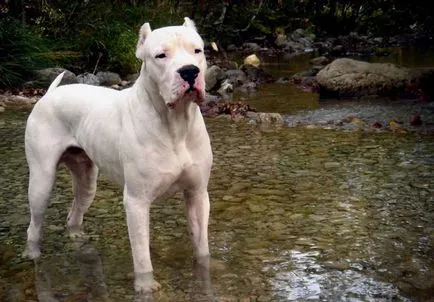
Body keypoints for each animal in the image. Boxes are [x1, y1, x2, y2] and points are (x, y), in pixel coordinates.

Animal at [24, 18, 214, 292]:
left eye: (197, 51)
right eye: (161, 55)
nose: (189, 71)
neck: (175, 123)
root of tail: (49, 94)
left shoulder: (197, 194)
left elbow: (202, 249)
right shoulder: (136, 201)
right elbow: (142, 255)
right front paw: (145, 286)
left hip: (86, 181)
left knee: (75, 212)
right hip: (41, 181)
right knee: (34, 226)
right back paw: (33, 256)